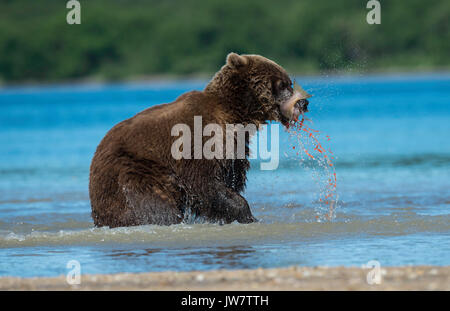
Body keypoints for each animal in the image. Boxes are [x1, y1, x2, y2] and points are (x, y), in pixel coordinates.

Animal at [90, 53, 310, 229]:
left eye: (289, 82)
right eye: (283, 84)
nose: (304, 102)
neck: (236, 115)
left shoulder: (235, 149)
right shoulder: (199, 139)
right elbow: (203, 182)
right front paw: (249, 216)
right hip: (133, 171)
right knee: (152, 202)